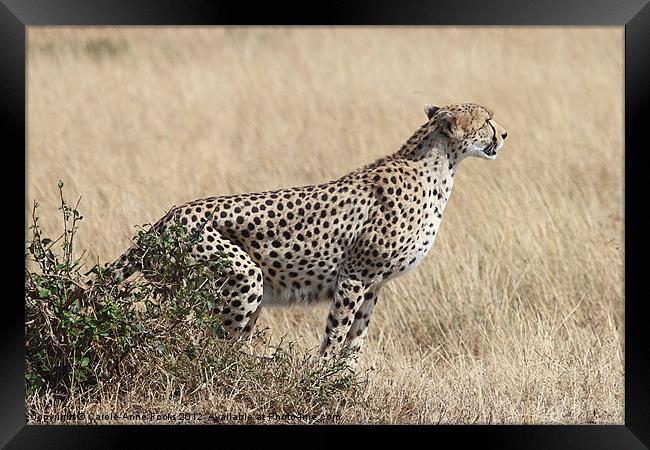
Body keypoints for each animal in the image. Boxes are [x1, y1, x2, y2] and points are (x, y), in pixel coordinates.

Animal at [104, 103, 506, 370]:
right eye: (486, 120)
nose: (504, 134)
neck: (438, 166)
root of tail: (165, 219)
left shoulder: (374, 283)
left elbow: (357, 336)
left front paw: (347, 377)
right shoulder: (354, 275)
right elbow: (337, 329)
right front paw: (323, 374)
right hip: (241, 276)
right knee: (206, 343)